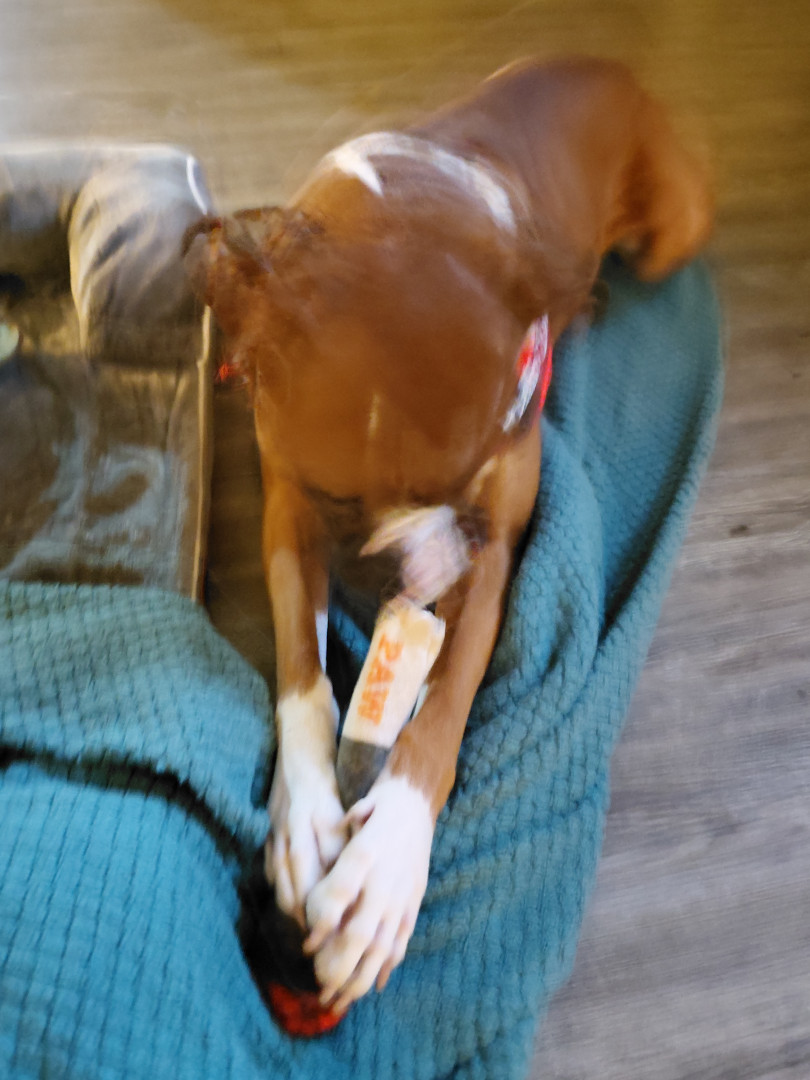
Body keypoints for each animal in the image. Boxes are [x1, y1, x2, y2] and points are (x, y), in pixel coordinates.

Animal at [185, 56, 712, 1014]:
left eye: (470, 482)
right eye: (337, 498)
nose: (409, 571)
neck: (408, 207)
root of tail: (605, 63)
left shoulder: (494, 555)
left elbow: (443, 712)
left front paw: (385, 866)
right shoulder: (291, 508)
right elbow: (301, 668)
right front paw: (305, 815)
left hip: (675, 225)